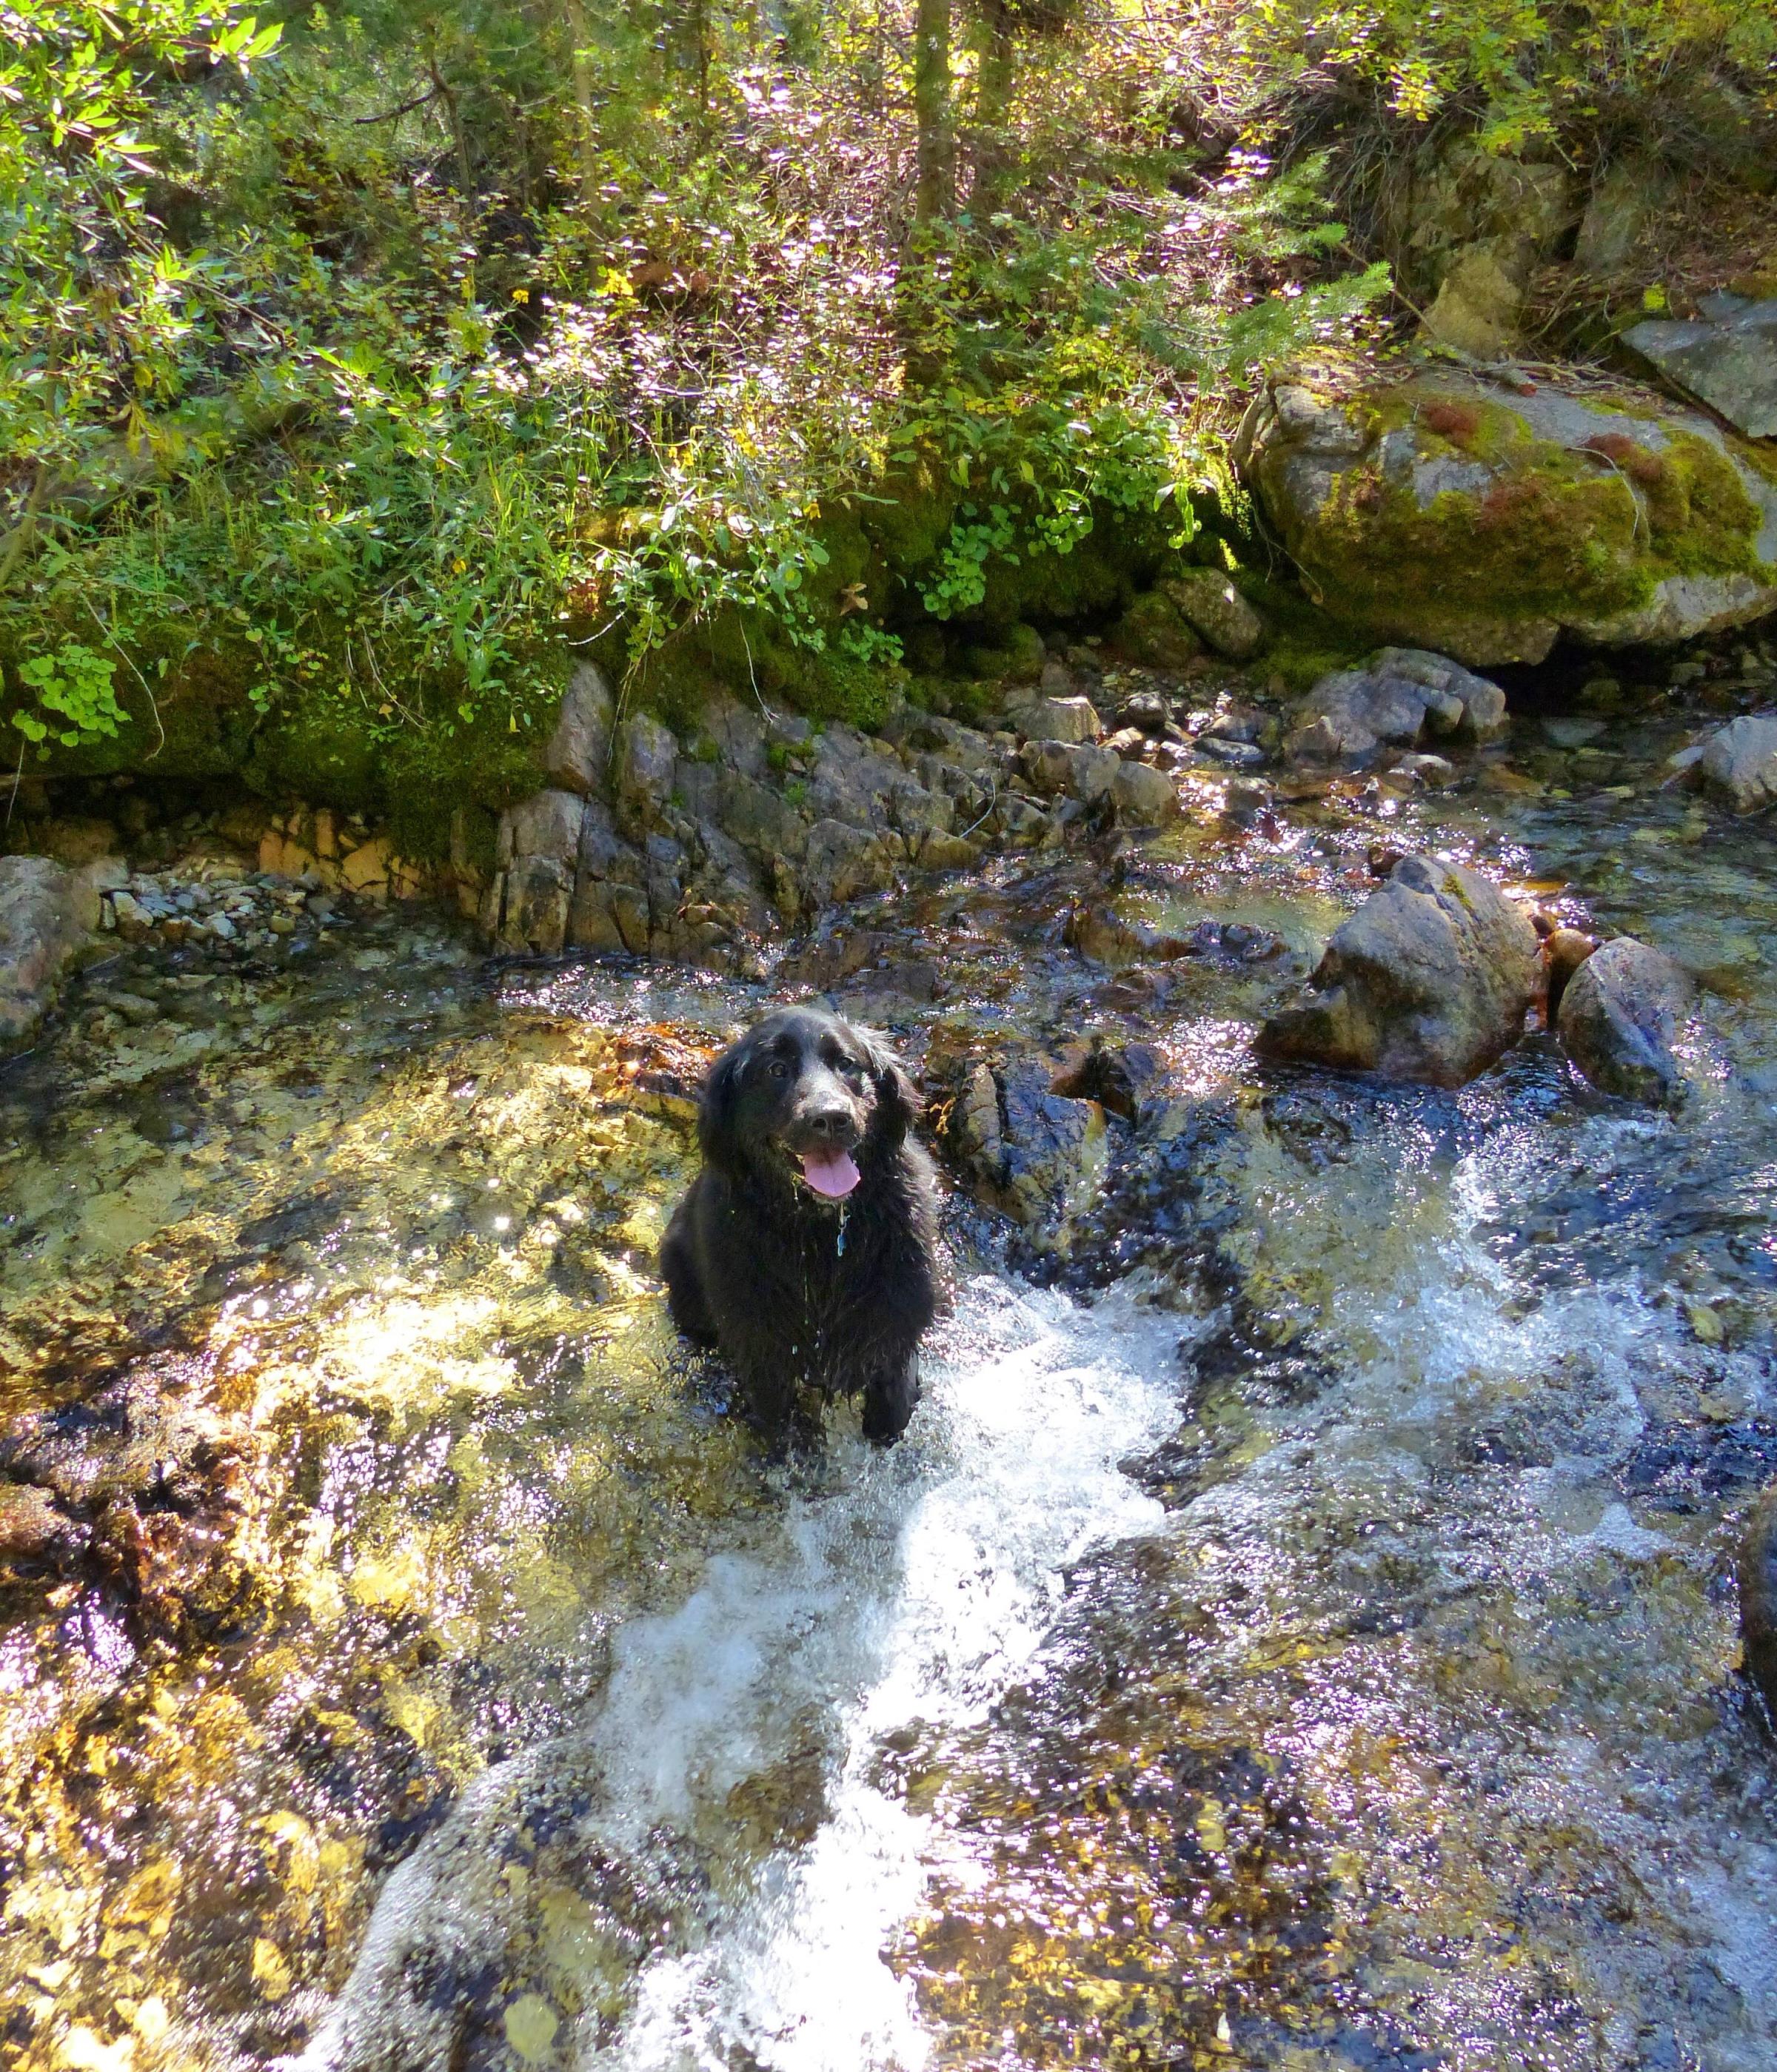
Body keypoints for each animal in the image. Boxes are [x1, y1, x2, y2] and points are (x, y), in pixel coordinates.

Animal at [663, 1007, 941, 1442]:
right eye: (777, 1070)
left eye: (846, 1064)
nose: (831, 1118)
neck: (821, 1236)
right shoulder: (763, 1349)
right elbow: (778, 1424)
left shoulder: (894, 1330)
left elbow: (891, 1415)